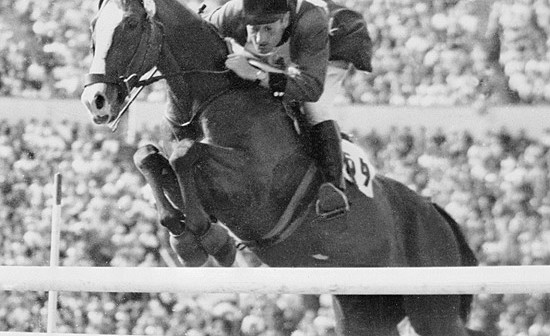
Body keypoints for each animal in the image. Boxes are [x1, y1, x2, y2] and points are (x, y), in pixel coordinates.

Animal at [80, 1, 490, 334]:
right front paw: (185, 239)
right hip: (363, 308)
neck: (209, 98)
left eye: (130, 25)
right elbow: (149, 157)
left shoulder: (254, 189)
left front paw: (209, 240)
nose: (96, 100)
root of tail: (436, 214)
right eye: (94, 26)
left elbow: (185, 154)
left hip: (432, 307)